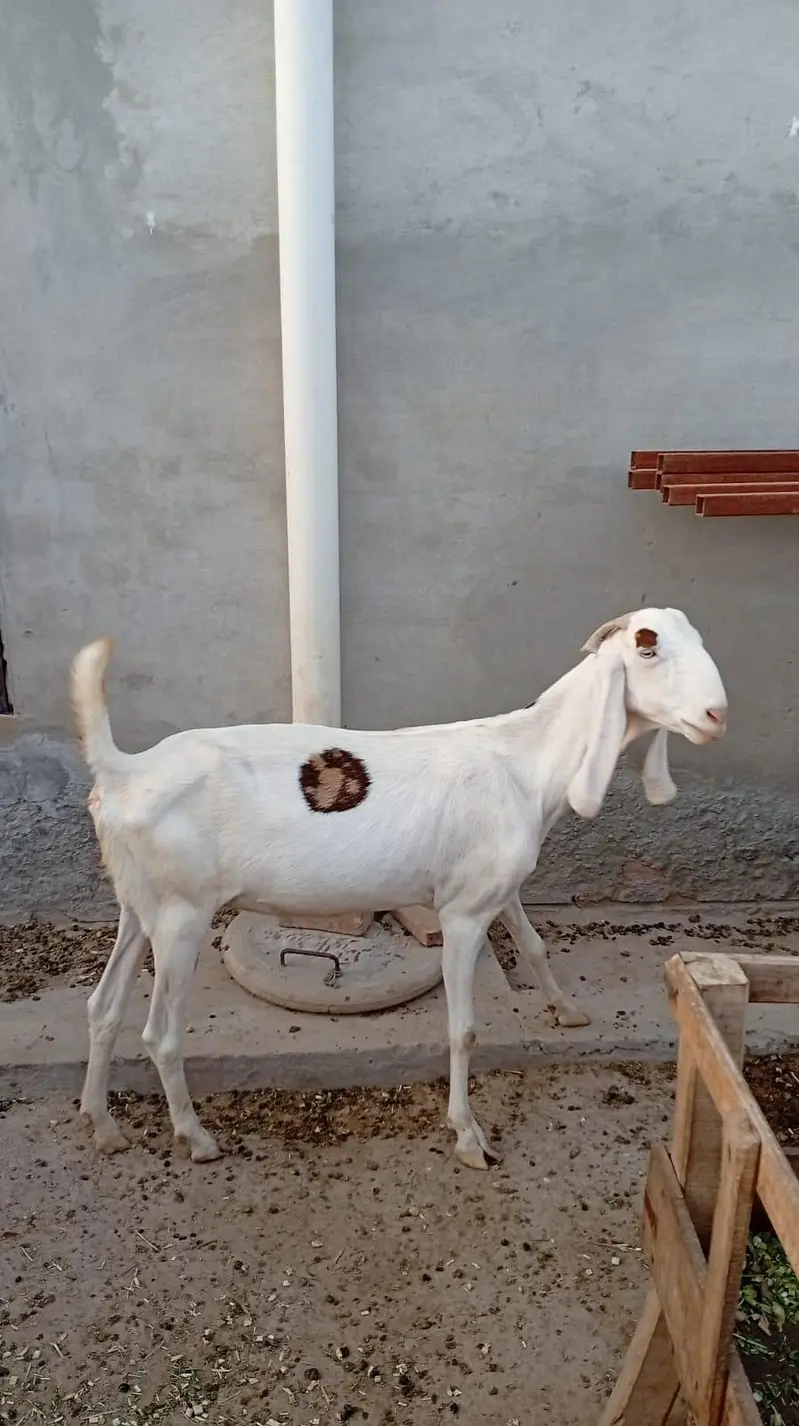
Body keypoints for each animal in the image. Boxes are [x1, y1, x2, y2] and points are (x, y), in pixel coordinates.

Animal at [73, 607, 727, 1170]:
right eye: (647, 646)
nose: (717, 714)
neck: (525, 760)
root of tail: (124, 772)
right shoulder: (463, 913)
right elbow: (463, 1030)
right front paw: (469, 1137)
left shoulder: (496, 885)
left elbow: (534, 943)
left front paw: (567, 1011)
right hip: (181, 913)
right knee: (158, 1034)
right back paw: (196, 1137)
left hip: (140, 904)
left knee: (103, 1008)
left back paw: (102, 1126)